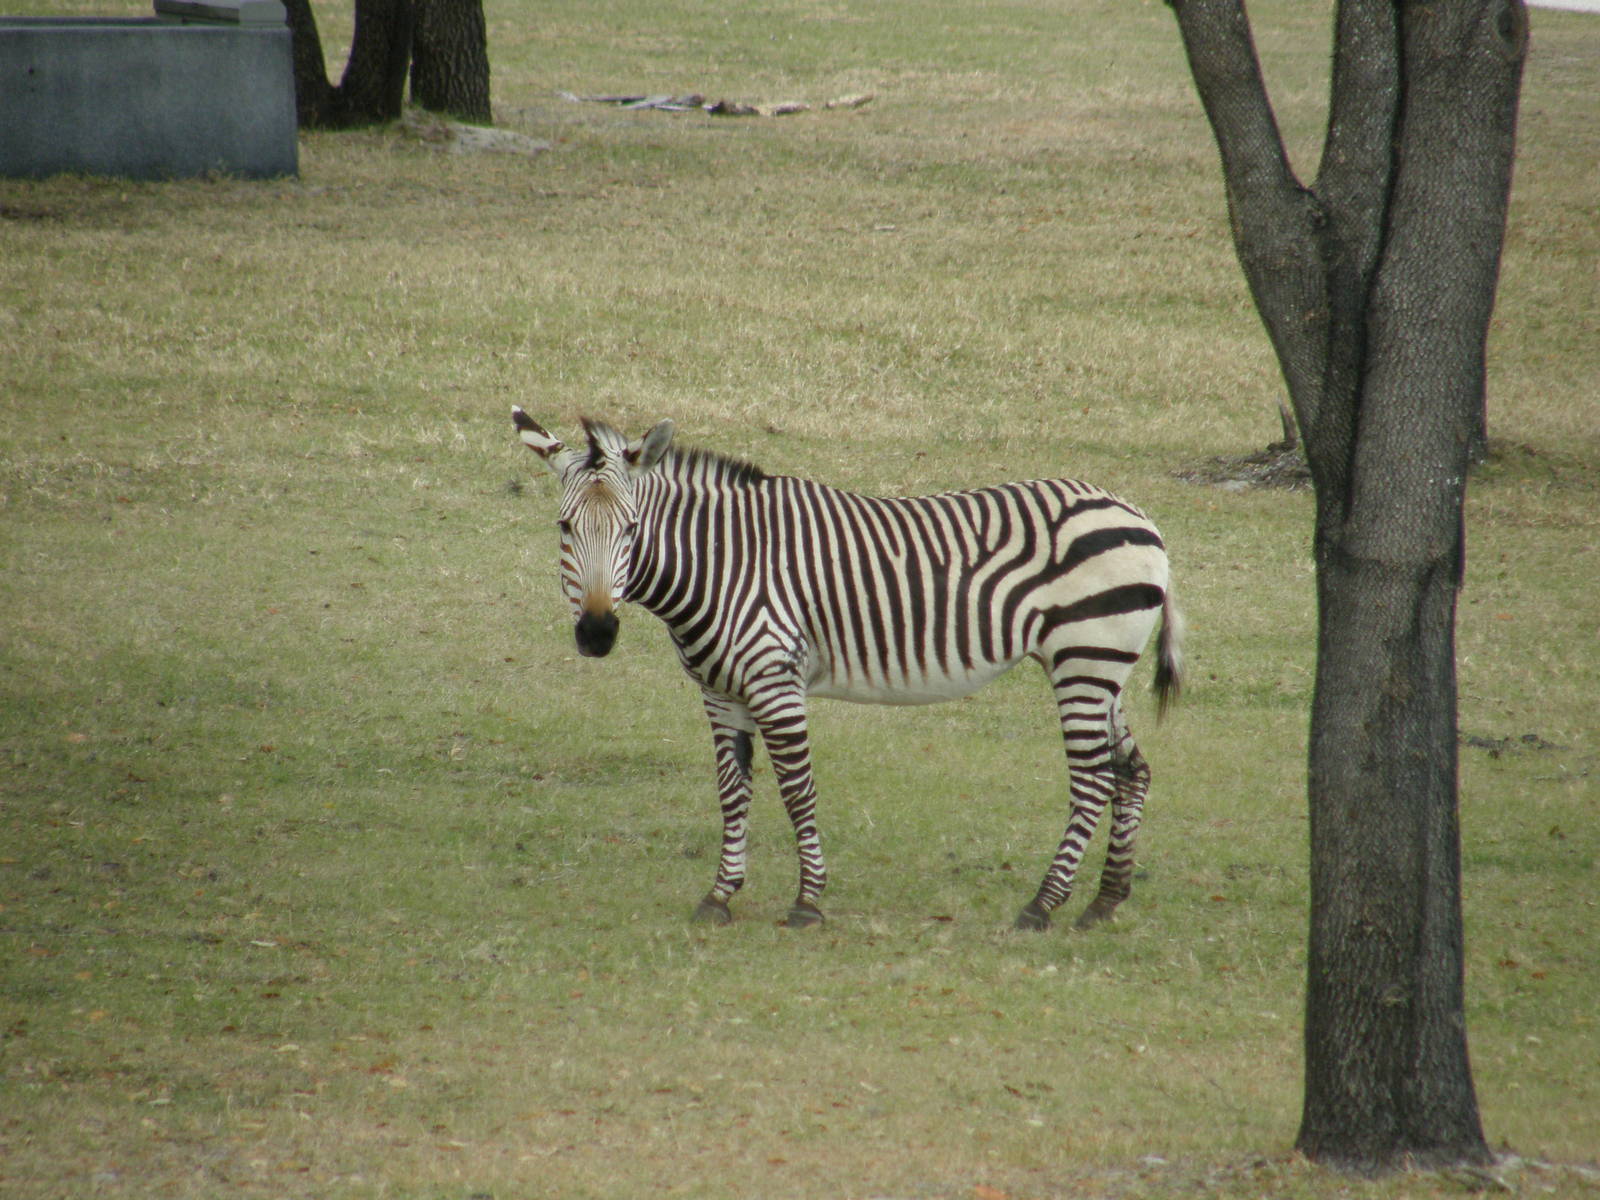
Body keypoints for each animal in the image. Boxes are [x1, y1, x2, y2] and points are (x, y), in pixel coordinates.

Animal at [512, 409, 1183, 931]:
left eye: (630, 529)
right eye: (565, 527)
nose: (597, 633)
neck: (721, 562)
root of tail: (1140, 517)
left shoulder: (774, 681)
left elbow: (797, 789)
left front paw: (808, 901)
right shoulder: (719, 691)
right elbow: (732, 792)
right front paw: (721, 895)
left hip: (1084, 663)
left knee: (1093, 781)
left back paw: (1042, 906)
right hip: (1101, 670)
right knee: (1132, 773)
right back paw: (1104, 901)